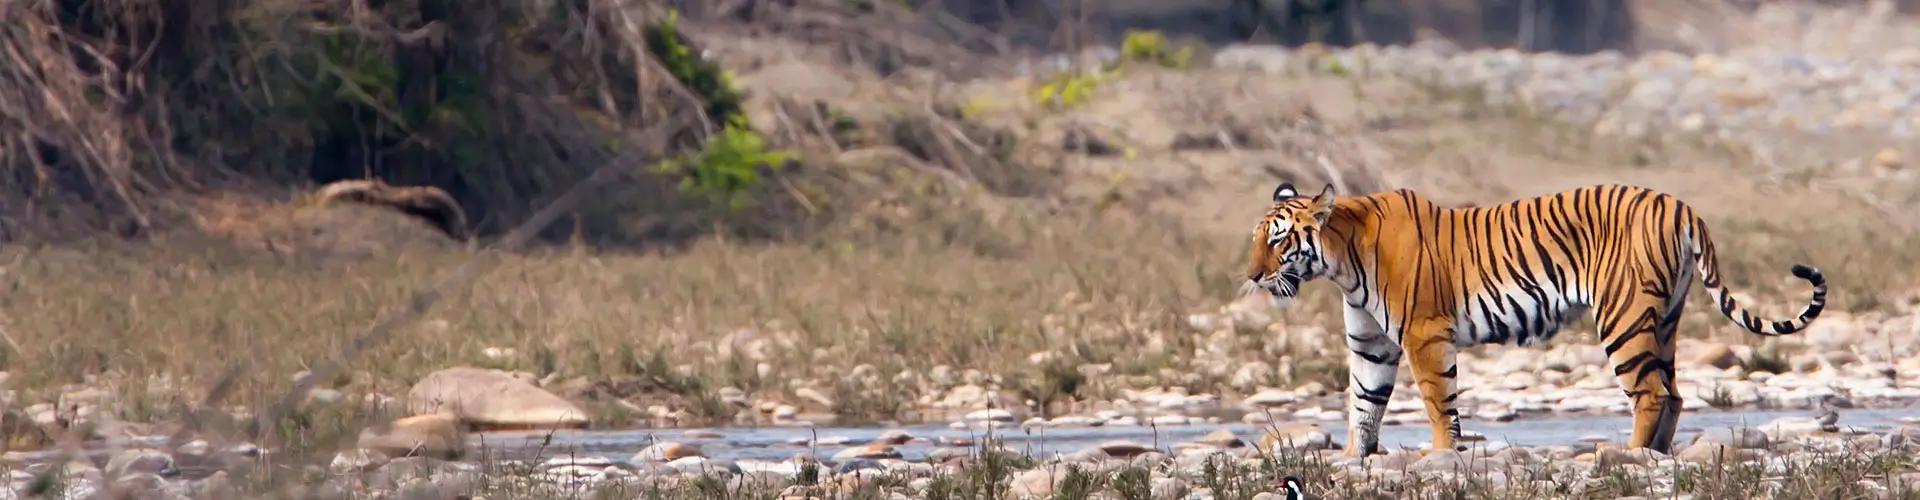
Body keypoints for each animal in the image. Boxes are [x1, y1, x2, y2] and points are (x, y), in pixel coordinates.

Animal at [1244, 182, 1828, 457]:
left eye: (1277, 240)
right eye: (1255, 238)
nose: (1251, 276)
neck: (1341, 263)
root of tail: (1682, 206)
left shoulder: (1424, 335)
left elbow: (1438, 404)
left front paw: (1441, 457)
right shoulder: (1371, 344)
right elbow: (1363, 407)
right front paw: (1353, 459)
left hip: (1623, 317)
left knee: (1650, 392)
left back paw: (1628, 456)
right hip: (1664, 319)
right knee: (1675, 392)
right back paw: (1656, 455)